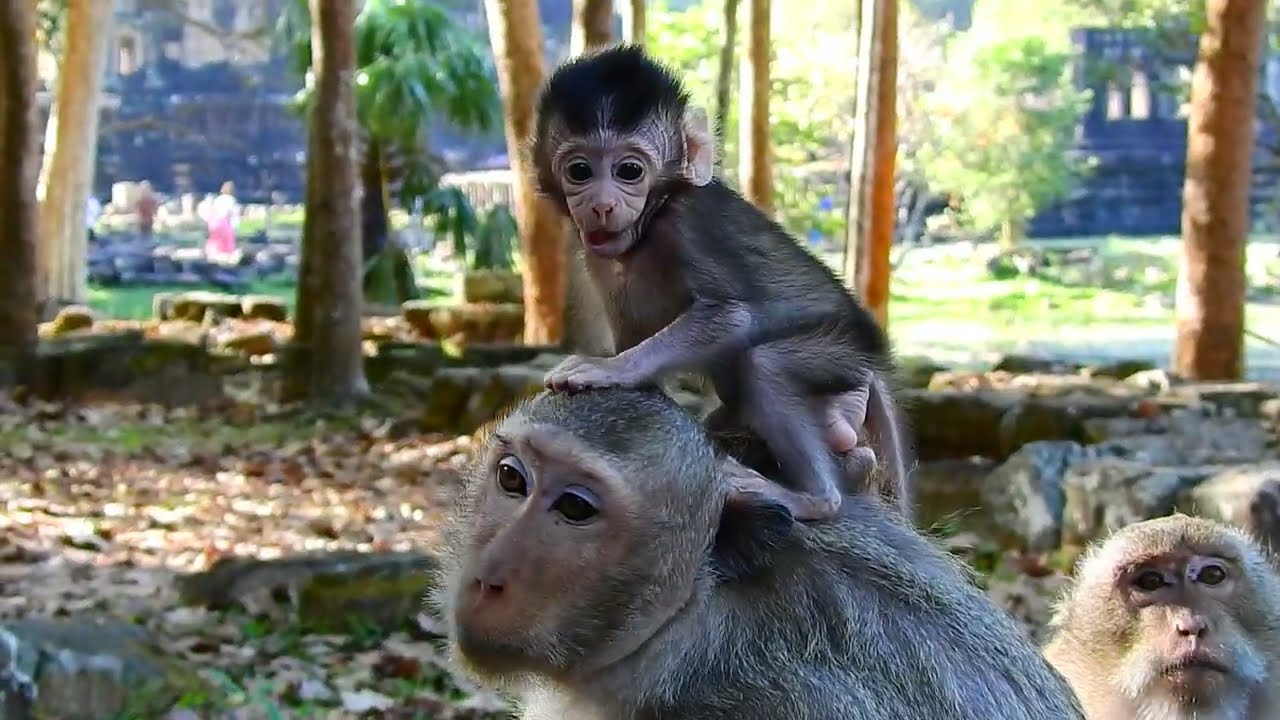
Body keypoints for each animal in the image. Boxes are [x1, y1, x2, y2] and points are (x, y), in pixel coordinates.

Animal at [529, 45, 912, 521]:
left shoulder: (686, 224)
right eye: (579, 171)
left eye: (629, 171)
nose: (601, 206)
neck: (655, 214)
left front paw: (609, 369)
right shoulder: (599, 257)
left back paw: (813, 498)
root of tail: (875, 362)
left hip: (839, 351)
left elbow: (729, 316)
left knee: (766, 364)